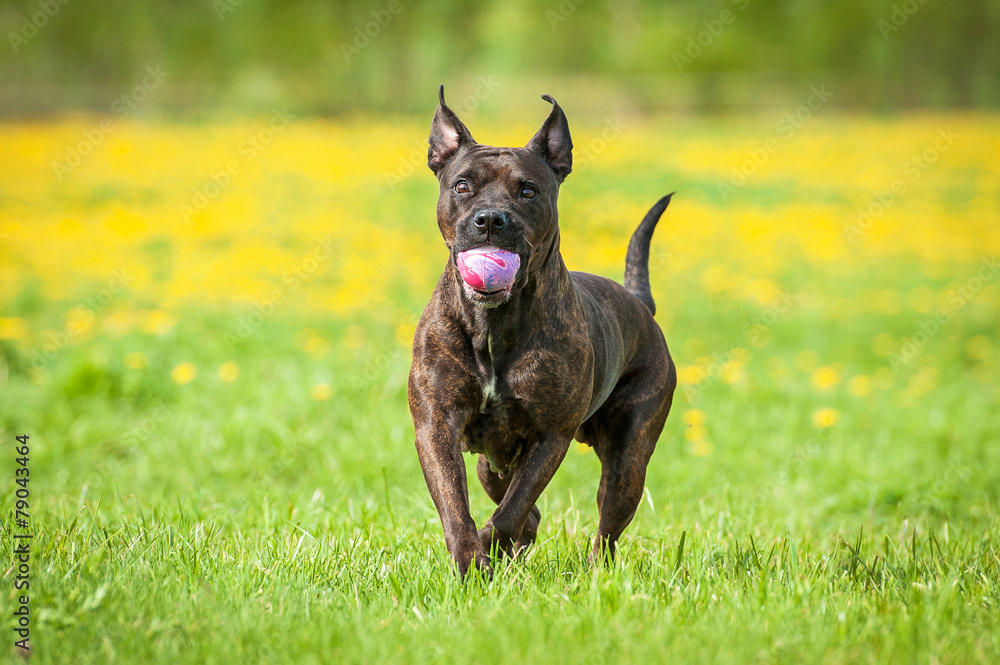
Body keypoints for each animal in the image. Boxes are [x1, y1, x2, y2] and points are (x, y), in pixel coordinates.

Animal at [408, 86, 676, 577]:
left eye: (527, 191)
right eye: (462, 186)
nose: (490, 219)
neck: (494, 324)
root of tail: (640, 306)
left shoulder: (549, 438)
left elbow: (510, 512)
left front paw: (486, 552)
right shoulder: (436, 424)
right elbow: (457, 505)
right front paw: (471, 562)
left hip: (628, 458)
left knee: (603, 525)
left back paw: (591, 571)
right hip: (491, 464)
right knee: (522, 510)